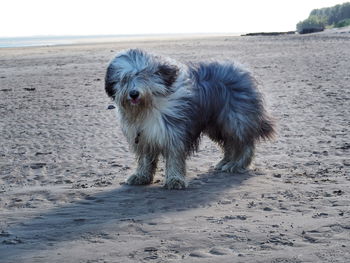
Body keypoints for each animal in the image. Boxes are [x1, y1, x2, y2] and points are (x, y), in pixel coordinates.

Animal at [105, 49, 274, 190]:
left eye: (144, 76)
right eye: (124, 79)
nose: (134, 94)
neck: (148, 107)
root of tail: (243, 72)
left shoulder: (174, 132)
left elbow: (174, 157)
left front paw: (175, 180)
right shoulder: (144, 135)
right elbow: (145, 159)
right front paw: (140, 176)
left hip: (235, 120)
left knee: (244, 144)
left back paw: (237, 165)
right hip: (217, 125)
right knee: (230, 145)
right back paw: (224, 163)